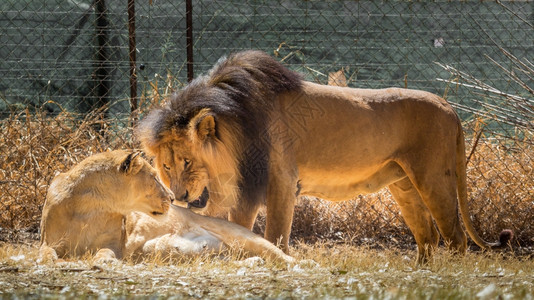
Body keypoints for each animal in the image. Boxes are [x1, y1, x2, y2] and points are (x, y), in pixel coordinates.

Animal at [39, 150, 296, 262]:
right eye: (154, 177)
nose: (173, 198)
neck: (91, 209)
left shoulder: (116, 245)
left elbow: (104, 253)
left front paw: (103, 261)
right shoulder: (47, 242)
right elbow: (45, 254)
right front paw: (48, 262)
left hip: (243, 237)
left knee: (283, 257)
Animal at [137, 50, 510, 264]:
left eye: (187, 161)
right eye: (166, 165)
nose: (179, 196)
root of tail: (449, 107)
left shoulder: (279, 179)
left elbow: (274, 232)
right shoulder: (242, 185)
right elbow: (235, 224)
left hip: (433, 176)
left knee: (456, 236)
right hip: (403, 184)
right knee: (427, 235)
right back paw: (420, 273)